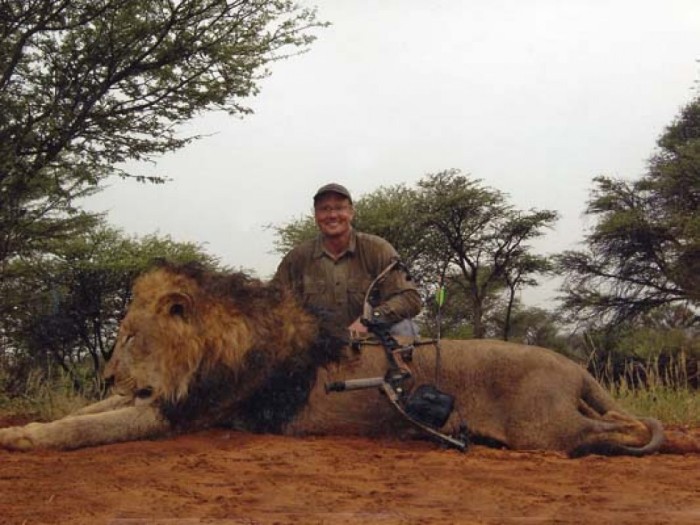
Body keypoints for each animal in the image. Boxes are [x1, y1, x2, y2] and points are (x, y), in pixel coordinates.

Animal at [0, 262, 693, 456]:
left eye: (130, 336)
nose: (107, 372)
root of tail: (577, 366)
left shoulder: (185, 413)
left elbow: (87, 427)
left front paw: (28, 437)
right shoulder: (160, 397)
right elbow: (86, 413)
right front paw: (20, 427)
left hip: (543, 427)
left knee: (616, 432)